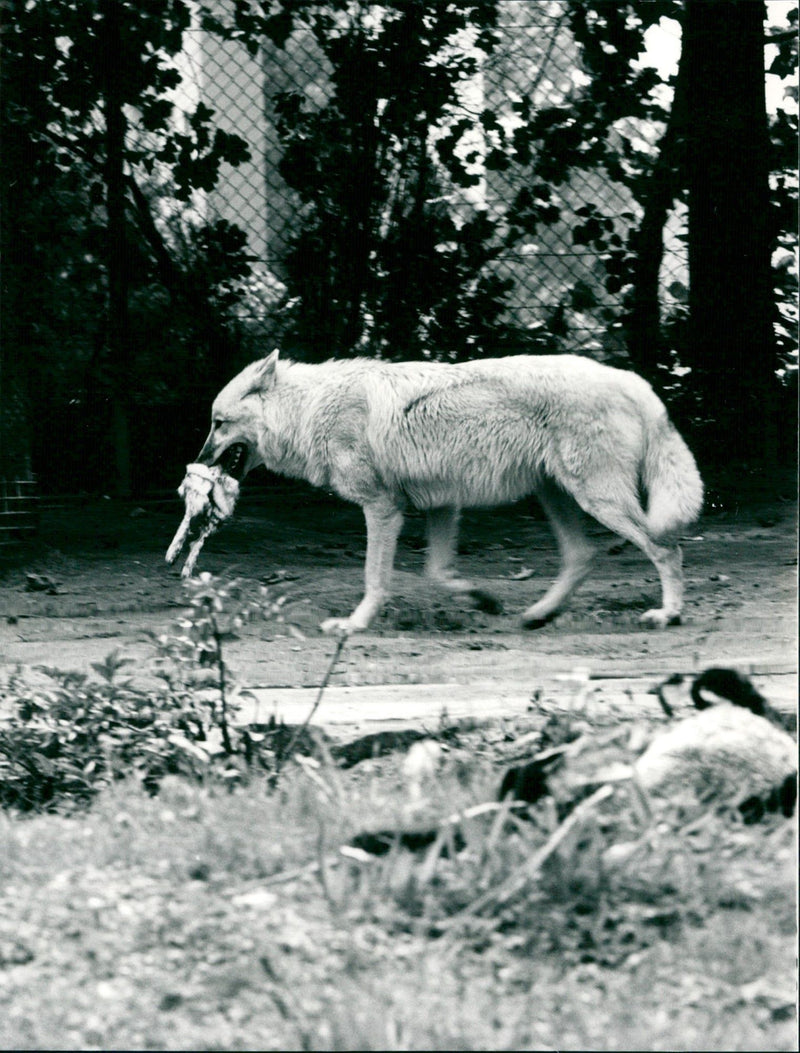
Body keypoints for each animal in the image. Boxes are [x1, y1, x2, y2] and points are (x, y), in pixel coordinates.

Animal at [193, 349, 703, 634]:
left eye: (217, 424)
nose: (197, 461)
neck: (309, 410)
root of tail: (631, 380)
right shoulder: (441, 504)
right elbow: (438, 572)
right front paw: (482, 600)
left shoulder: (382, 508)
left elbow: (374, 578)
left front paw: (355, 625)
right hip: (557, 496)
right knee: (583, 556)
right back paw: (537, 615)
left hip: (598, 500)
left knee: (667, 548)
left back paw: (669, 615)